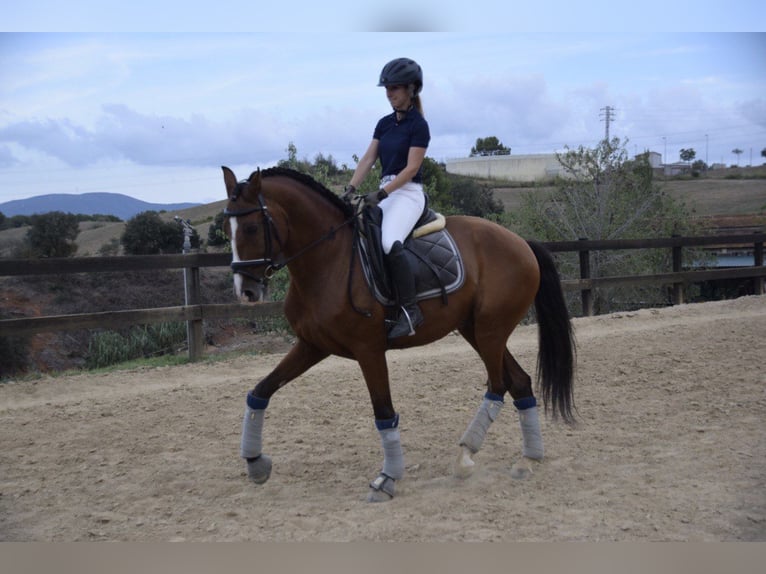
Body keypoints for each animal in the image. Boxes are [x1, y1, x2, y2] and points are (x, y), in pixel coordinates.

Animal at [222, 165, 575, 502]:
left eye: (252, 228)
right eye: (228, 230)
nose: (246, 291)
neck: (328, 261)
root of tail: (521, 242)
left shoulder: (369, 350)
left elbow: (384, 413)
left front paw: (386, 479)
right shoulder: (311, 346)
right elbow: (260, 391)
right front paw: (255, 463)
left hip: (490, 331)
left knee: (498, 386)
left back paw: (465, 456)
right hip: (477, 330)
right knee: (520, 383)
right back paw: (528, 459)